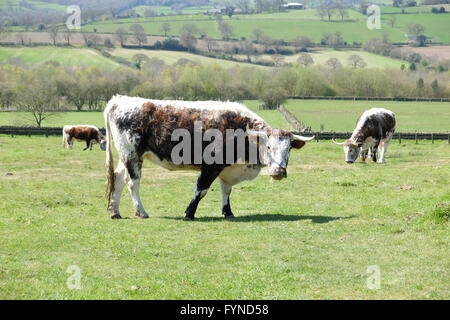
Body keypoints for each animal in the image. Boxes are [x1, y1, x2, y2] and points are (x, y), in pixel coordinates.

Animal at [103, 95, 314, 220]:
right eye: (268, 146)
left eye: (289, 149)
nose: (279, 171)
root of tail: (118, 100)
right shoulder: (210, 166)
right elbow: (201, 190)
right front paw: (189, 213)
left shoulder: (227, 169)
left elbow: (226, 191)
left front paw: (228, 212)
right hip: (132, 155)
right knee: (133, 183)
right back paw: (141, 212)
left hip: (126, 157)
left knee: (118, 179)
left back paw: (115, 211)